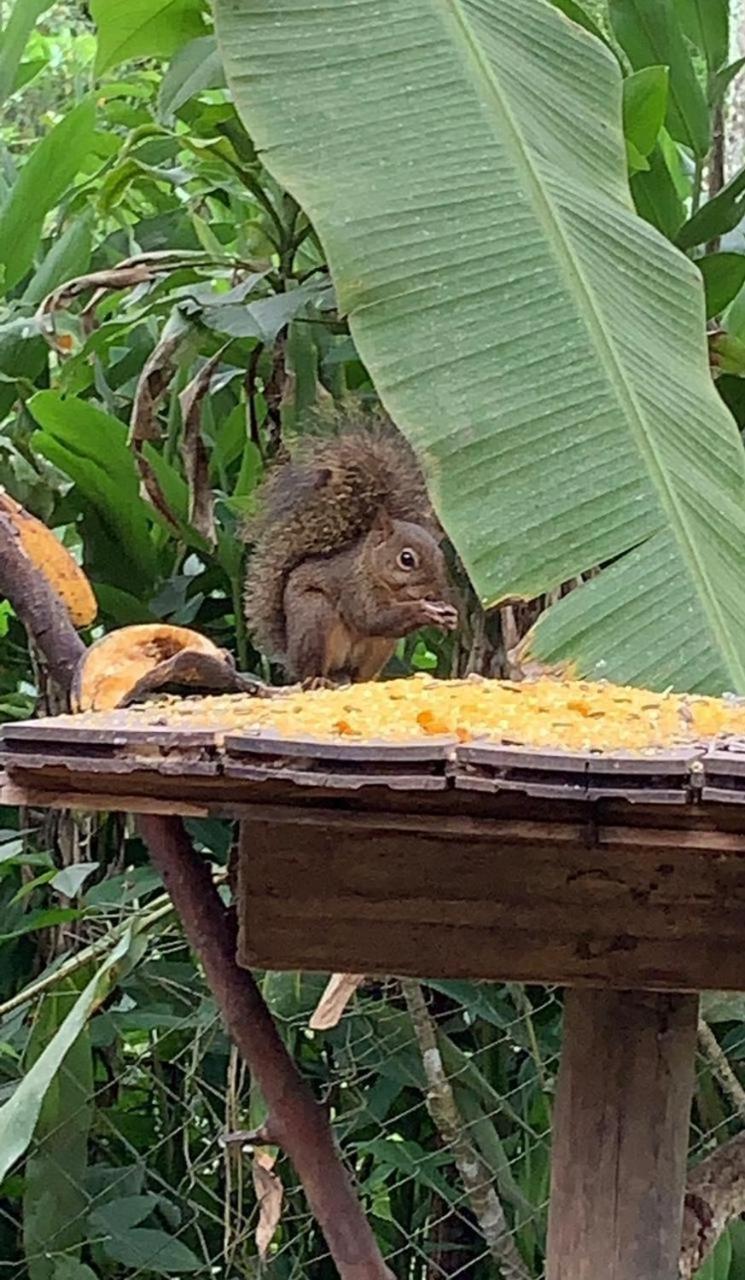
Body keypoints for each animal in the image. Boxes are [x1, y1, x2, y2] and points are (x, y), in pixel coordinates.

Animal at [245, 409, 458, 691]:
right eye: (406, 559)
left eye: (440, 556)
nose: (436, 594)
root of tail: (290, 656)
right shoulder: (354, 588)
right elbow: (371, 618)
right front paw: (425, 610)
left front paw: (448, 616)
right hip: (314, 617)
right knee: (312, 668)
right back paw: (317, 679)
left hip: (380, 647)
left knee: (360, 674)